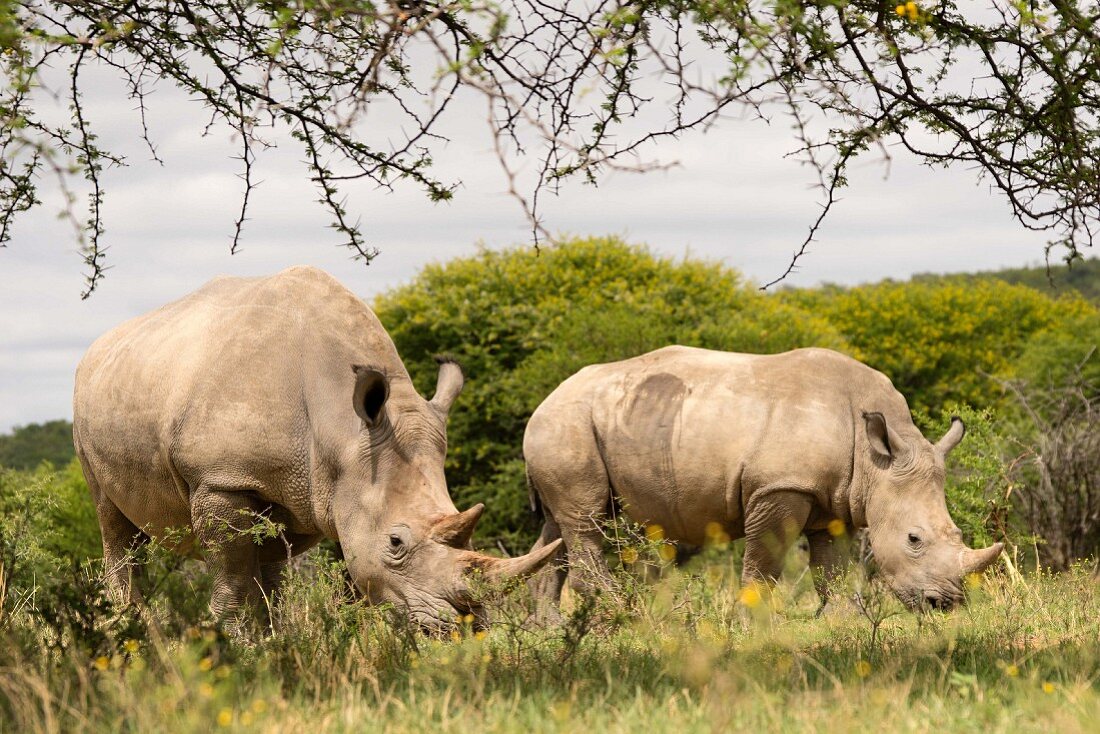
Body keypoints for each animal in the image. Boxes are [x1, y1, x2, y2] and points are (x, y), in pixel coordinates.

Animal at [73, 267, 558, 629]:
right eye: (395, 542)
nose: (467, 624)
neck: (343, 430)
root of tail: (96, 348)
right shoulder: (220, 480)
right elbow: (234, 579)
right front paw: (230, 647)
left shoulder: (305, 489)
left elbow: (269, 581)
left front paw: (270, 644)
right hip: (85, 414)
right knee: (113, 523)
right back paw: (132, 633)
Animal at [523, 345, 1007, 616]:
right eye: (914, 539)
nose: (944, 605)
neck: (877, 460)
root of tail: (544, 400)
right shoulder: (779, 486)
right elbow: (765, 560)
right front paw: (752, 621)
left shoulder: (834, 496)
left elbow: (832, 565)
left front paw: (842, 620)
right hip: (566, 425)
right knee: (584, 519)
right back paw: (626, 615)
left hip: (580, 425)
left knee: (559, 525)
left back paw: (547, 628)